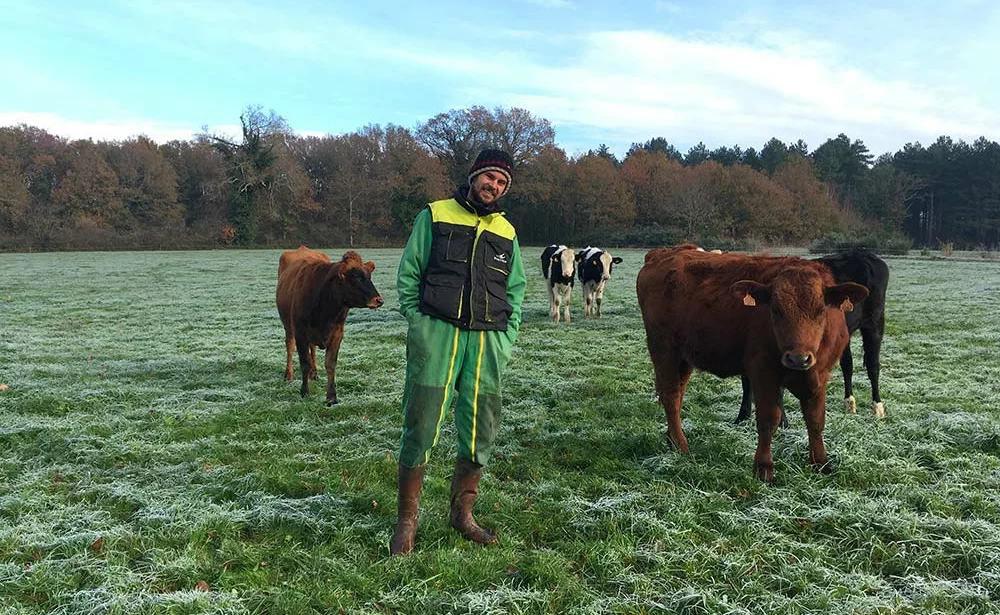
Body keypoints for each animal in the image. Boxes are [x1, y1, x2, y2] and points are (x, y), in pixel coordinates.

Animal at [276, 248, 384, 406]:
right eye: (356, 277)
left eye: (369, 276)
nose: (379, 300)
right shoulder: (300, 333)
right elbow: (304, 362)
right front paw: (304, 392)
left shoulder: (337, 334)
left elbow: (330, 364)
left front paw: (332, 396)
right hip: (288, 327)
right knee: (290, 347)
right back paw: (288, 375)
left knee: (313, 349)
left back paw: (314, 373)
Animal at [640, 244, 868, 482]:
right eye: (776, 310)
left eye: (820, 310)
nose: (798, 358)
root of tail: (666, 252)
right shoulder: (762, 373)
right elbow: (769, 420)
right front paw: (764, 467)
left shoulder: (820, 376)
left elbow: (815, 419)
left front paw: (821, 462)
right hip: (663, 349)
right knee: (670, 397)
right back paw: (681, 445)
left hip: (684, 358)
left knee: (678, 393)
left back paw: (672, 440)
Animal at [736, 248, 892, 426]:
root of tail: (864, 255)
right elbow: (747, 381)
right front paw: (743, 415)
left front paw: (782, 421)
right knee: (848, 364)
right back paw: (849, 402)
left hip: (875, 322)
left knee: (873, 365)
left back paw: (877, 407)